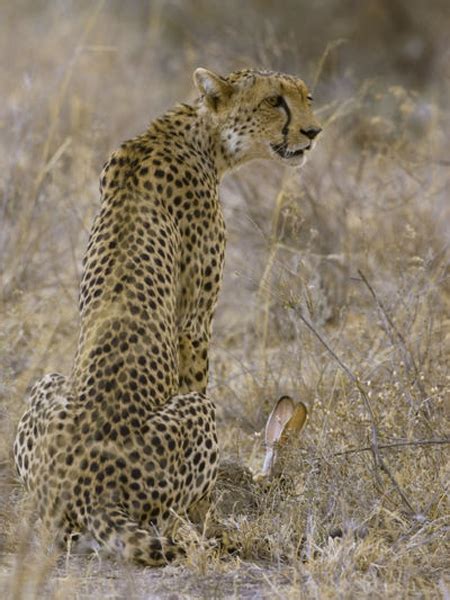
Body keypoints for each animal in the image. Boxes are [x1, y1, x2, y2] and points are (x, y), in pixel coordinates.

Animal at [14, 68, 322, 564]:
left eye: (306, 97)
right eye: (275, 100)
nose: (313, 132)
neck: (201, 135)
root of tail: (88, 490)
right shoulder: (195, 322)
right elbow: (196, 372)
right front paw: (211, 518)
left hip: (48, 384)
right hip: (197, 415)